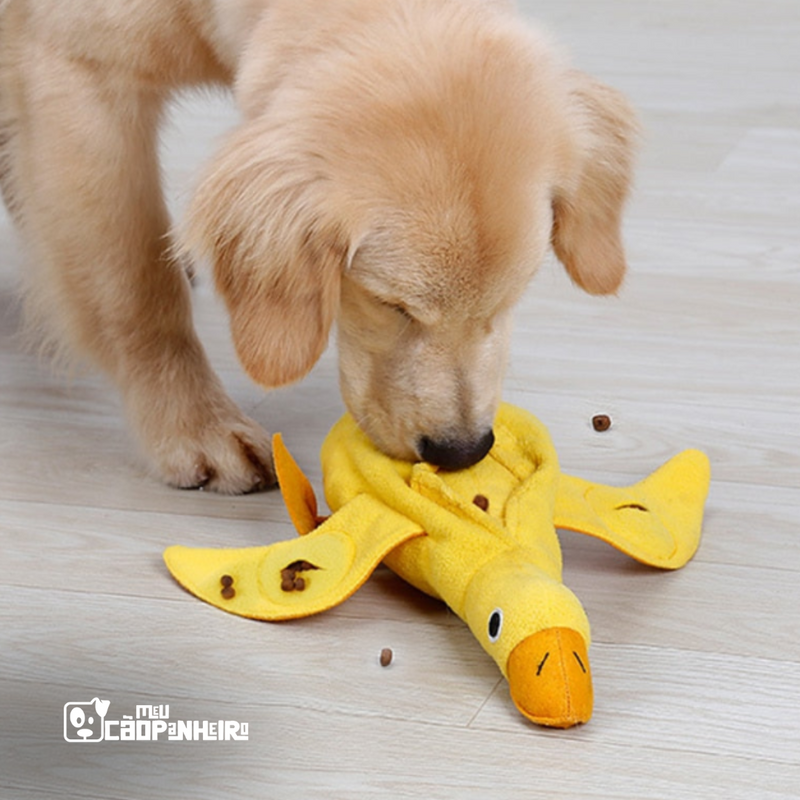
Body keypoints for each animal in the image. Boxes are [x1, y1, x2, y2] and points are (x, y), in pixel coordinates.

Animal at [0, 0, 636, 490]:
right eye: (389, 304)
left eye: (512, 297)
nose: (461, 453)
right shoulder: (77, 74)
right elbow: (137, 292)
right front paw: (193, 426)